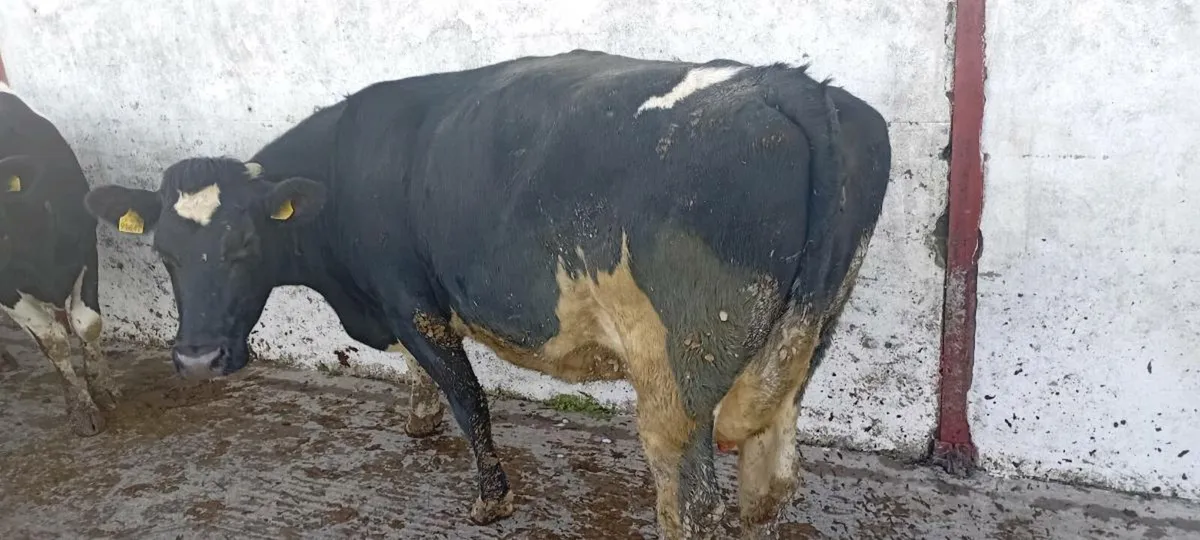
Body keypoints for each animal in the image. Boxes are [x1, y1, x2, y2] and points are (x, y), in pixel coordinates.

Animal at [0, 81, 122, 436]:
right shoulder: (5, 288)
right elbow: (52, 342)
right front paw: (80, 407)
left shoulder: (85, 250)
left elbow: (88, 324)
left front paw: (102, 387)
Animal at [84, 50, 891, 539]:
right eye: (163, 253)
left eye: (244, 246)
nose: (195, 360)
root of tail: (789, 84)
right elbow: (430, 382)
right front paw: (418, 421)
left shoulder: (410, 298)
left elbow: (467, 396)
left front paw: (490, 496)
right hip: (805, 339)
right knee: (770, 471)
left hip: (677, 373)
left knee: (690, 497)